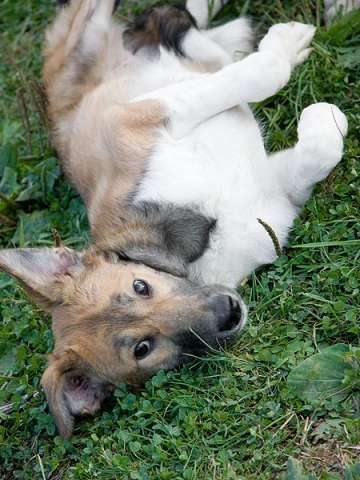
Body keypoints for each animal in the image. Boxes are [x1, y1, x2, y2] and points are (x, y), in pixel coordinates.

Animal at [0, 0, 348, 438]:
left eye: (140, 285)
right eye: (143, 348)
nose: (229, 313)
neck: (193, 251)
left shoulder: (146, 113)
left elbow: (263, 75)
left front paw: (300, 72)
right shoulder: (273, 199)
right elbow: (317, 151)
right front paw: (324, 115)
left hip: (95, 24)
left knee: (173, 23)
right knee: (186, 30)